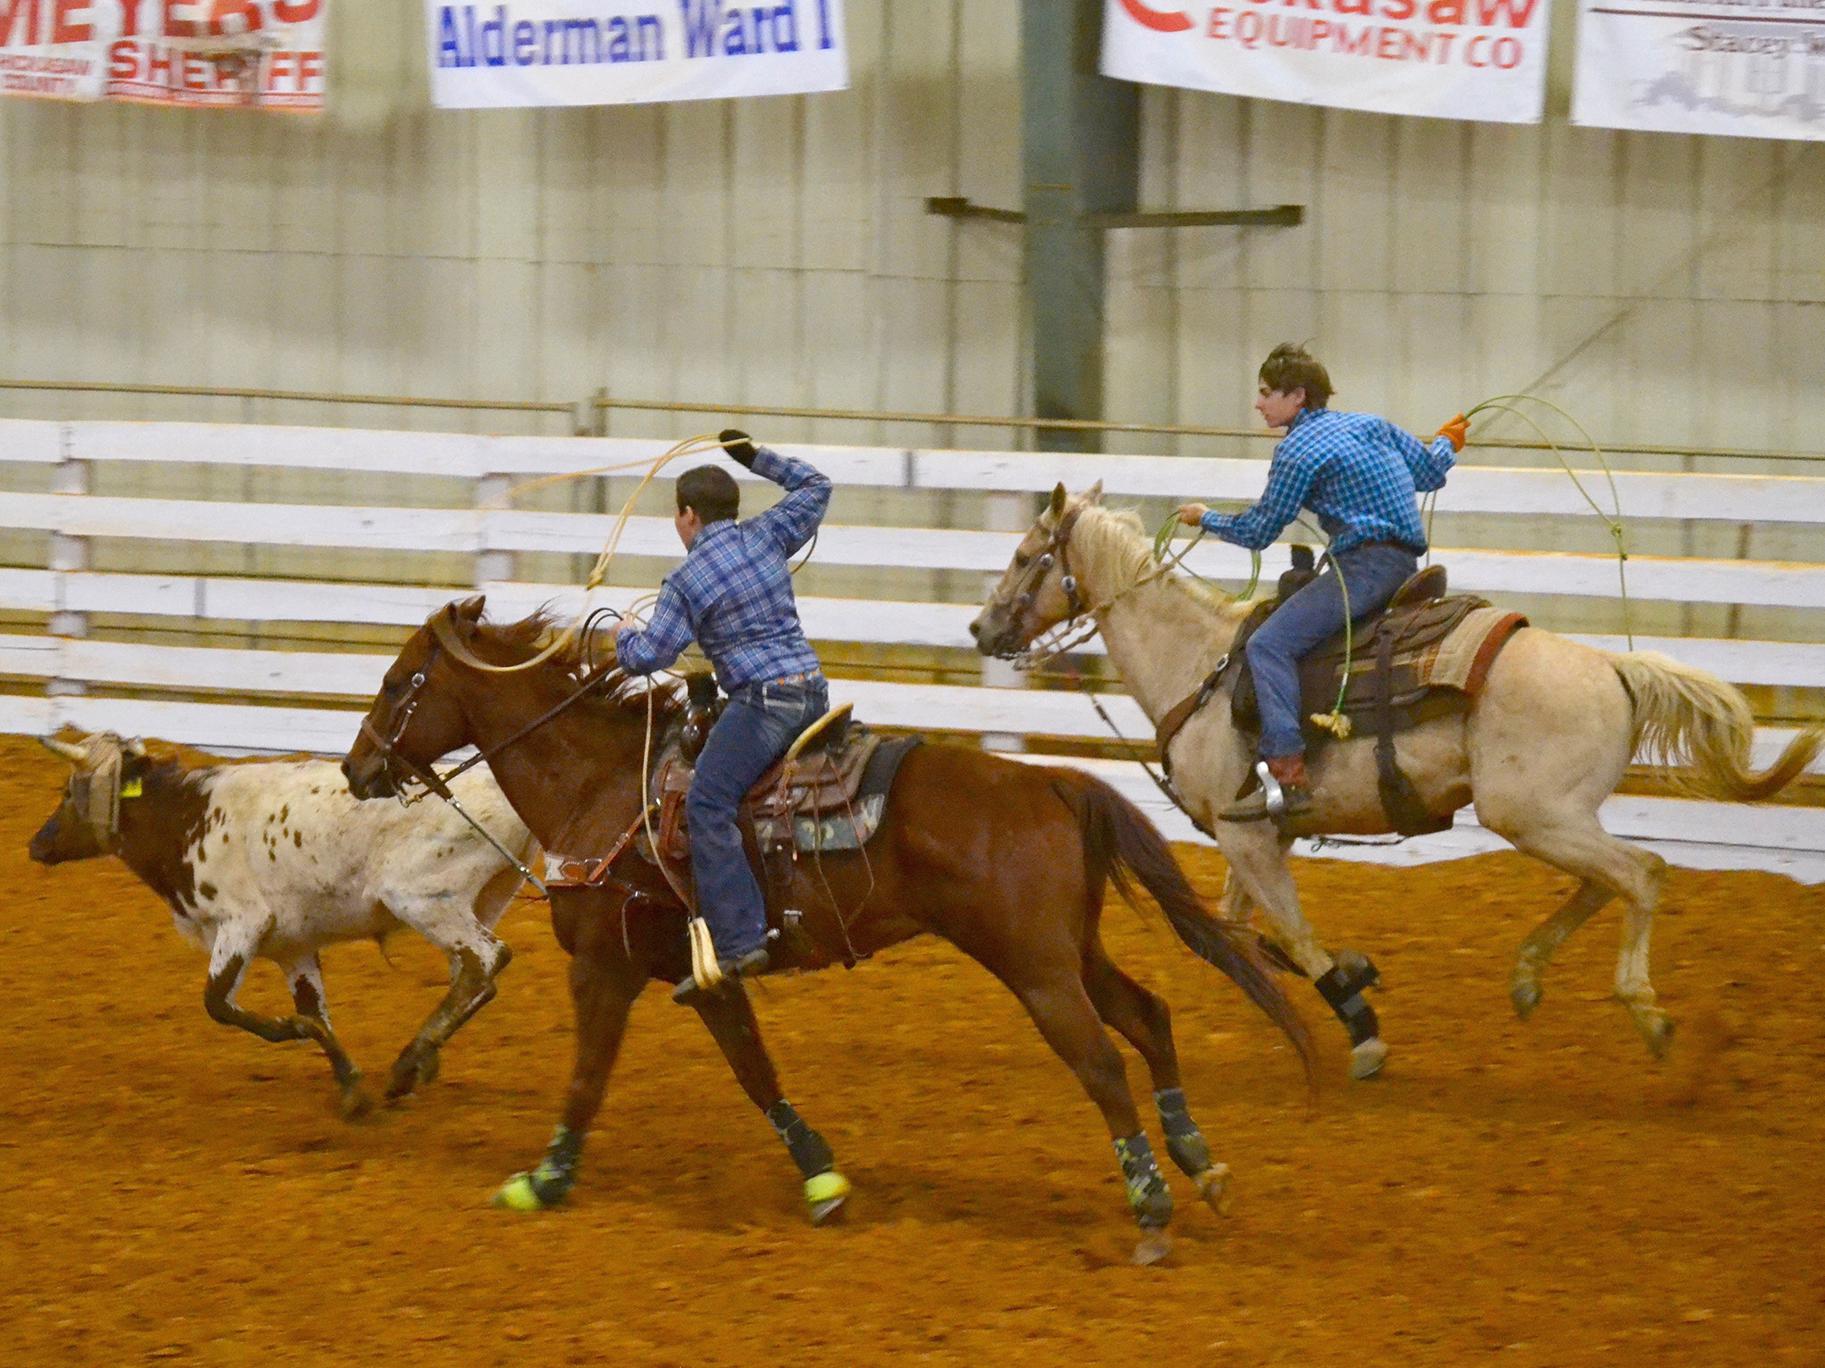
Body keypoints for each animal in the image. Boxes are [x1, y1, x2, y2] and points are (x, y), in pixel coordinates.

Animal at [339, 598, 1314, 1262]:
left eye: (396, 684)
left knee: (1103, 1063)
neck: (605, 788)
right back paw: (1198, 1164)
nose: (354, 770)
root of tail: (1049, 780)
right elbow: (755, 1071)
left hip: (1034, 967)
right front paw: (821, 1178)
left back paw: (1150, 1208)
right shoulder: (701, 974)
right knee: (1147, 1017)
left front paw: (542, 1183)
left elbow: (586, 1080)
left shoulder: (604, 969)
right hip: (1073, 950)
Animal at [978, 485, 1817, 1079]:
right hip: (1549, 816)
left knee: (1640, 873)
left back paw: (1645, 1013)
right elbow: (1243, 932)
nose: (980, 630)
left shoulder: (1247, 838)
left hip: (1531, 814)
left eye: (1024, 556)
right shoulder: (1255, 834)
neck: (1199, 666)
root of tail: (1613, 665)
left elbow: (1289, 934)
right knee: (1607, 880)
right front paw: (1350, 979)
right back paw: (1527, 977)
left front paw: (1360, 1030)